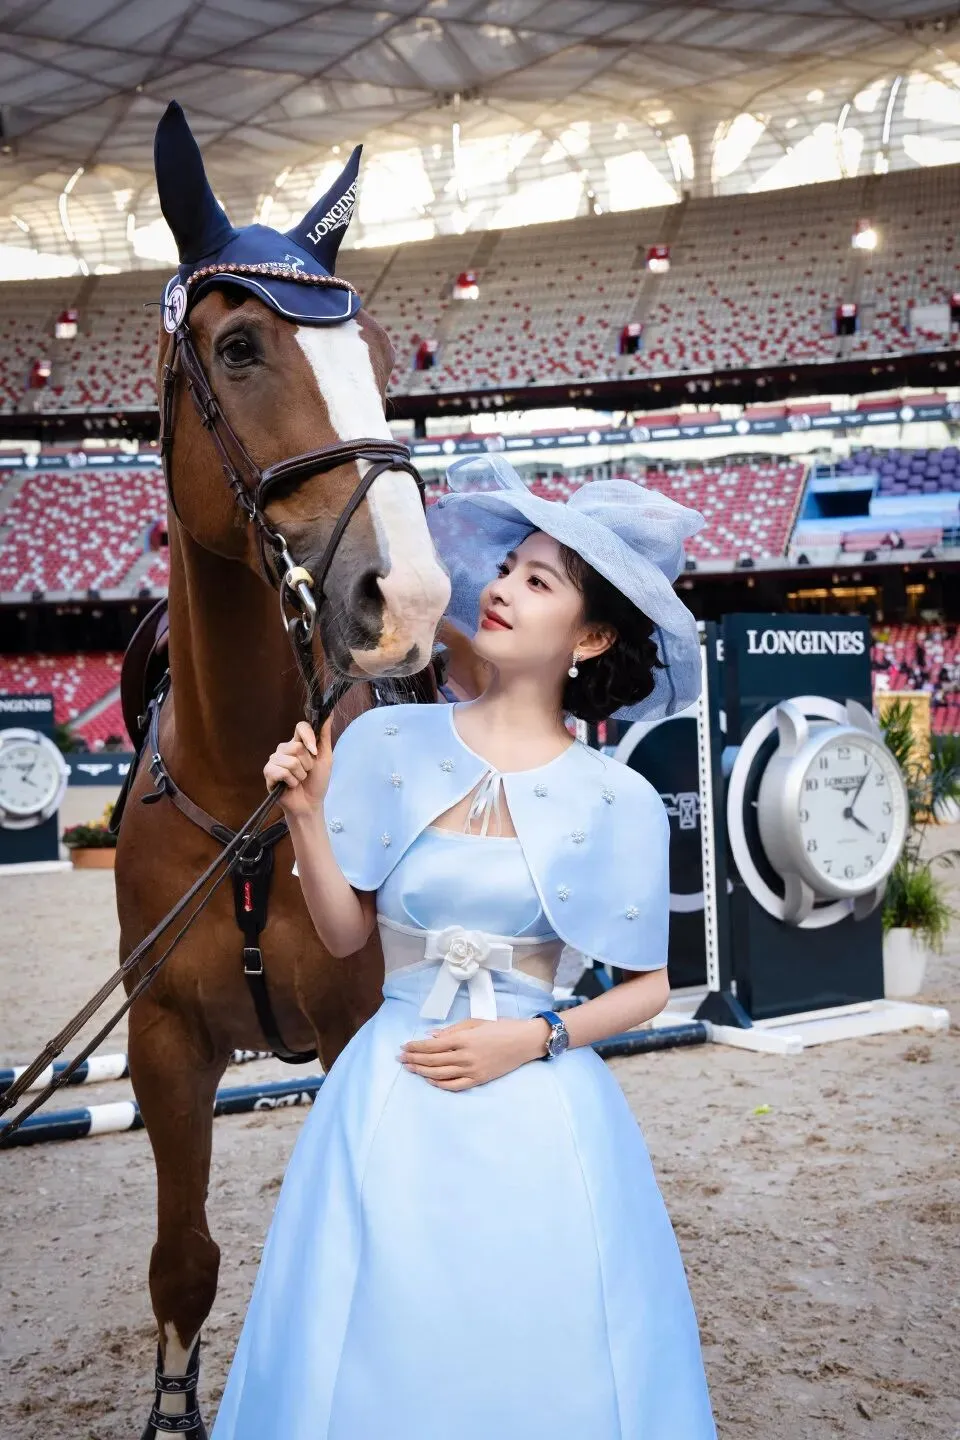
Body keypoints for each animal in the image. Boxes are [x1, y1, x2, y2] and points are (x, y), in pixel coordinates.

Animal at [114, 104, 450, 1439]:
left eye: (372, 348)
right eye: (241, 342)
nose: (408, 597)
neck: (245, 787)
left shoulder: (360, 1020)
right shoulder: (164, 1043)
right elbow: (181, 1268)